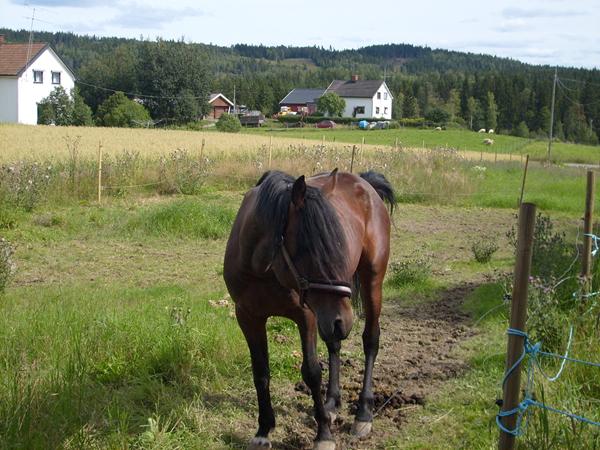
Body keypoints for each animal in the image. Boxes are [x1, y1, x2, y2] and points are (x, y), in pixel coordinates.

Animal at [223, 170, 396, 450]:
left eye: (339, 244)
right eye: (309, 248)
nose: (345, 320)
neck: (263, 269)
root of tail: (364, 182)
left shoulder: (307, 317)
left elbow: (312, 372)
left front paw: (323, 434)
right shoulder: (248, 317)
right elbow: (260, 372)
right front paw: (264, 430)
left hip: (369, 283)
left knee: (370, 340)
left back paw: (363, 413)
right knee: (335, 344)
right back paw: (332, 403)